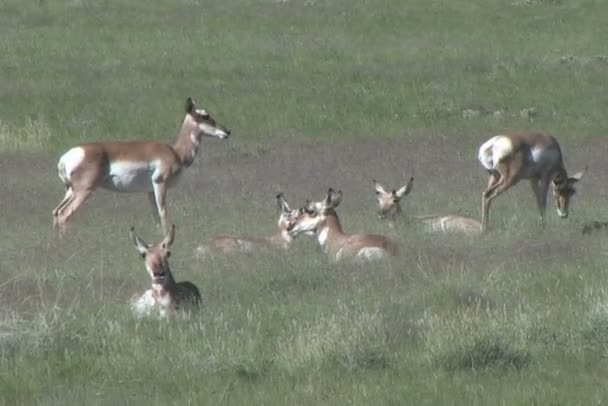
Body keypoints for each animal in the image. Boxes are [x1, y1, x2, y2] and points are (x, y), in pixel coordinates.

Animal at [51, 96, 228, 233]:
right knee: (65, 214)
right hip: (84, 191)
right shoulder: (159, 184)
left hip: (70, 191)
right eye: (205, 116)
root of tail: (66, 157)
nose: (227, 132)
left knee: (56, 212)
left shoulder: (149, 190)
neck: (176, 152)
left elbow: (156, 217)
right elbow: (163, 214)